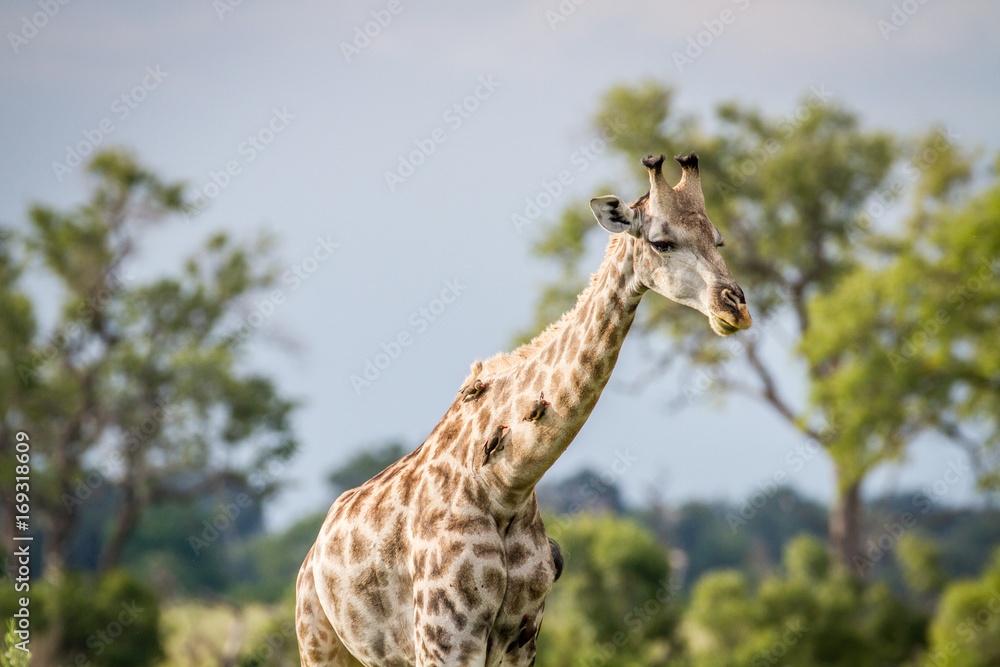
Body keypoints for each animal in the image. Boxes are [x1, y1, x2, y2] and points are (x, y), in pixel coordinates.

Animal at [296, 153, 751, 667]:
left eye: (718, 239)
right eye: (662, 242)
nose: (736, 308)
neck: (506, 485)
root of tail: (312, 553)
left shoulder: (523, 637)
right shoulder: (445, 637)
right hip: (318, 641)